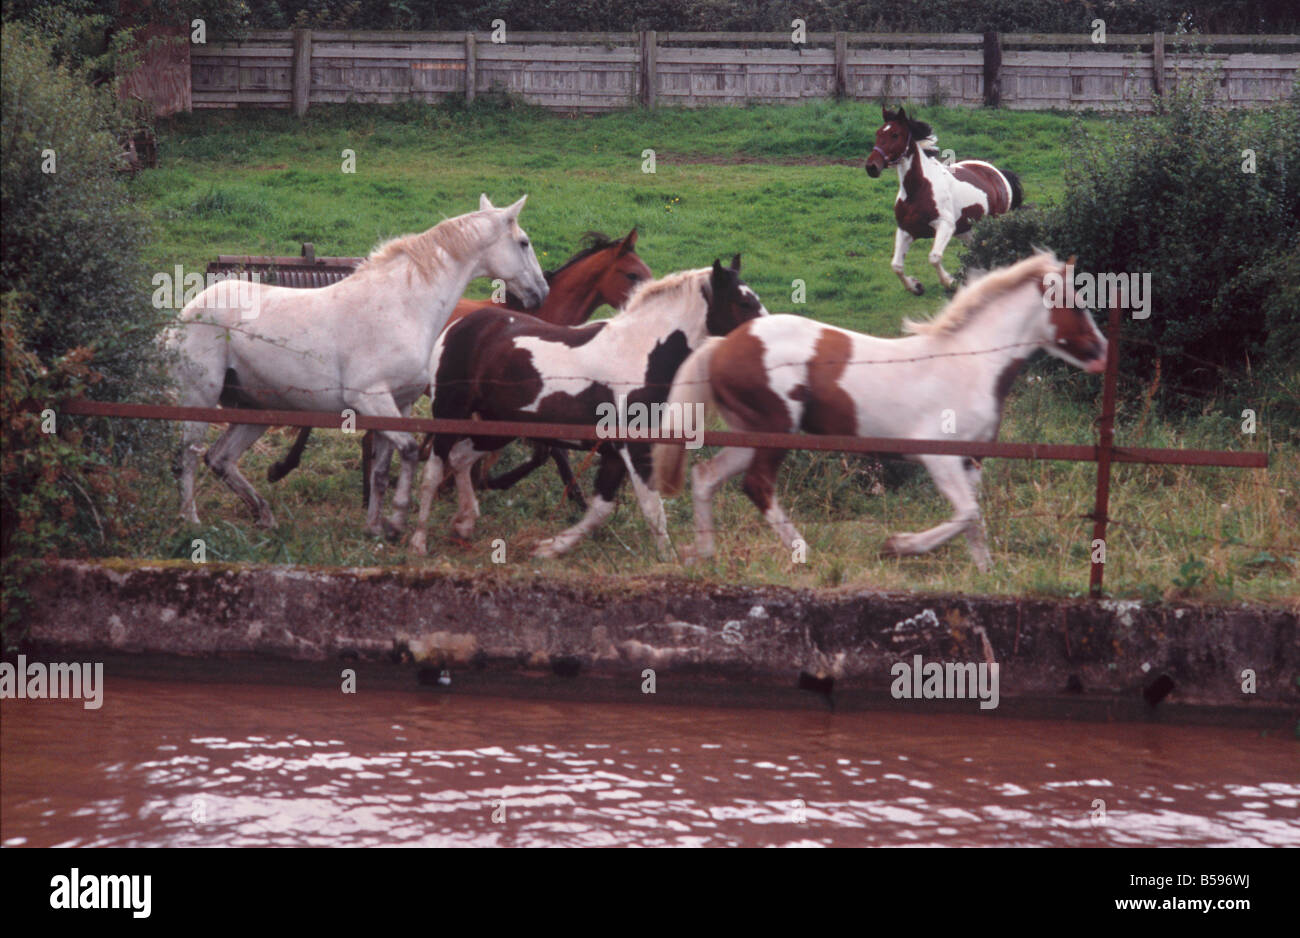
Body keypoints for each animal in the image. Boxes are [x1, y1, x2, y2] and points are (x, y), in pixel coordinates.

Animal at [166, 193, 543, 537]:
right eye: (523, 243)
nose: (540, 292)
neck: (403, 306)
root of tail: (187, 312)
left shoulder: (399, 405)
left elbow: (382, 470)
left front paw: (375, 527)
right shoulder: (370, 399)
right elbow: (408, 451)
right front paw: (395, 522)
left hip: (257, 409)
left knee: (219, 458)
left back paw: (264, 515)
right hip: (201, 398)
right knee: (190, 455)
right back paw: (190, 520)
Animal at [410, 257, 764, 556]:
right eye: (744, 301)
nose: (760, 341)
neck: (640, 352)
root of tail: (456, 327)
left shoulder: (614, 452)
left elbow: (600, 509)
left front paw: (548, 548)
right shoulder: (634, 448)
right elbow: (653, 509)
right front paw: (670, 560)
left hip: (497, 426)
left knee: (460, 458)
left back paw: (464, 524)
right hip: (450, 413)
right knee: (433, 470)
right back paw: (419, 542)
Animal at [650, 252, 1107, 566]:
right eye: (1074, 302)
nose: (1101, 352)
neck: (970, 363)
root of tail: (722, 344)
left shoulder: (972, 460)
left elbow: (974, 521)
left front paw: (988, 573)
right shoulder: (939, 456)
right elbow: (966, 513)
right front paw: (897, 546)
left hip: (751, 435)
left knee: (705, 477)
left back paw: (703, 552)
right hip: (774, 430)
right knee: (757, 485)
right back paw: (804, 553)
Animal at [863, 102, 1024, 293]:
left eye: (895, 134)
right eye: (878, 133)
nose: (871, 167)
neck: (917, 189)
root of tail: (999, 173)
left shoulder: (945, 226)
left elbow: (934, 257)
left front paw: (949, 281)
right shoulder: (905, 230)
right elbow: (896, 266)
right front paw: (916, 286)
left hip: (993, 225)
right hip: (966, 231)